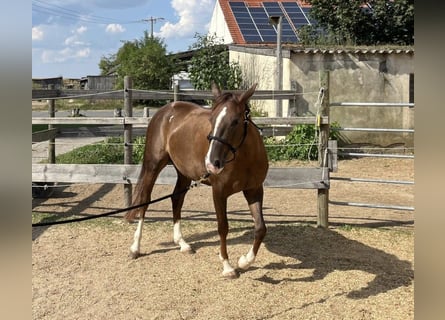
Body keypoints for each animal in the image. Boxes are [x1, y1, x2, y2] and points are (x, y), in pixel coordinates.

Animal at [126, 84, 268, 278]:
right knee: (144, 201)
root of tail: (165, 110)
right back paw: (135, 248)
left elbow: (260, 228)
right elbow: (223, 227)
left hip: (184, 174)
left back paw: (182, 243)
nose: (211, 163)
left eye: (235, 121)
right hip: (152, 166)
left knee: (176, 199)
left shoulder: (254, 190)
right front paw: (227, 266)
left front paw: (244, 261)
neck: (245, 159)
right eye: (211, 119)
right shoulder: (219, 192)